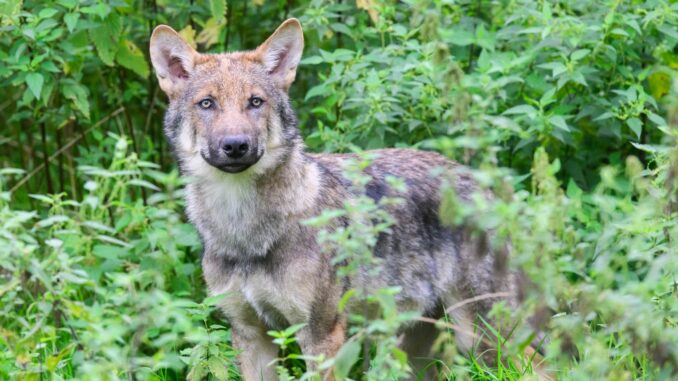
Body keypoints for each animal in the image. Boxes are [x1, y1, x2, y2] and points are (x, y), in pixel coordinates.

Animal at [150, 17, 540, 378]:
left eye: (255, 102)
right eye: (207, 103)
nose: (235, 145)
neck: (244, 229)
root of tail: (485, 185)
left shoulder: (321, 335)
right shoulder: (250, 335)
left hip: (485, 340)